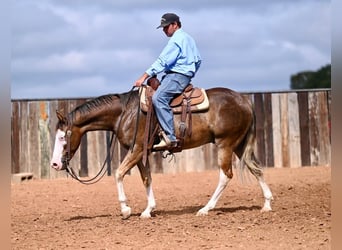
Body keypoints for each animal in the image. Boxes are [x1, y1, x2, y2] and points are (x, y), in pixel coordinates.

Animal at [50, 87, 274, 219]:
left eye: (62, 137)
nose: (55, 164)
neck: (125, 112)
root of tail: (244, 100)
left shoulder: (137, 149)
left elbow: (119, 173)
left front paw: (125, 209)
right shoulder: (141, 152)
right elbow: (146, 178)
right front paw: (149, 210)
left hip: (225, 144)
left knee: (226, 175)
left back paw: (205, 209)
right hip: (240, 145)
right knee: (256, 169)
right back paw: (267, 204)